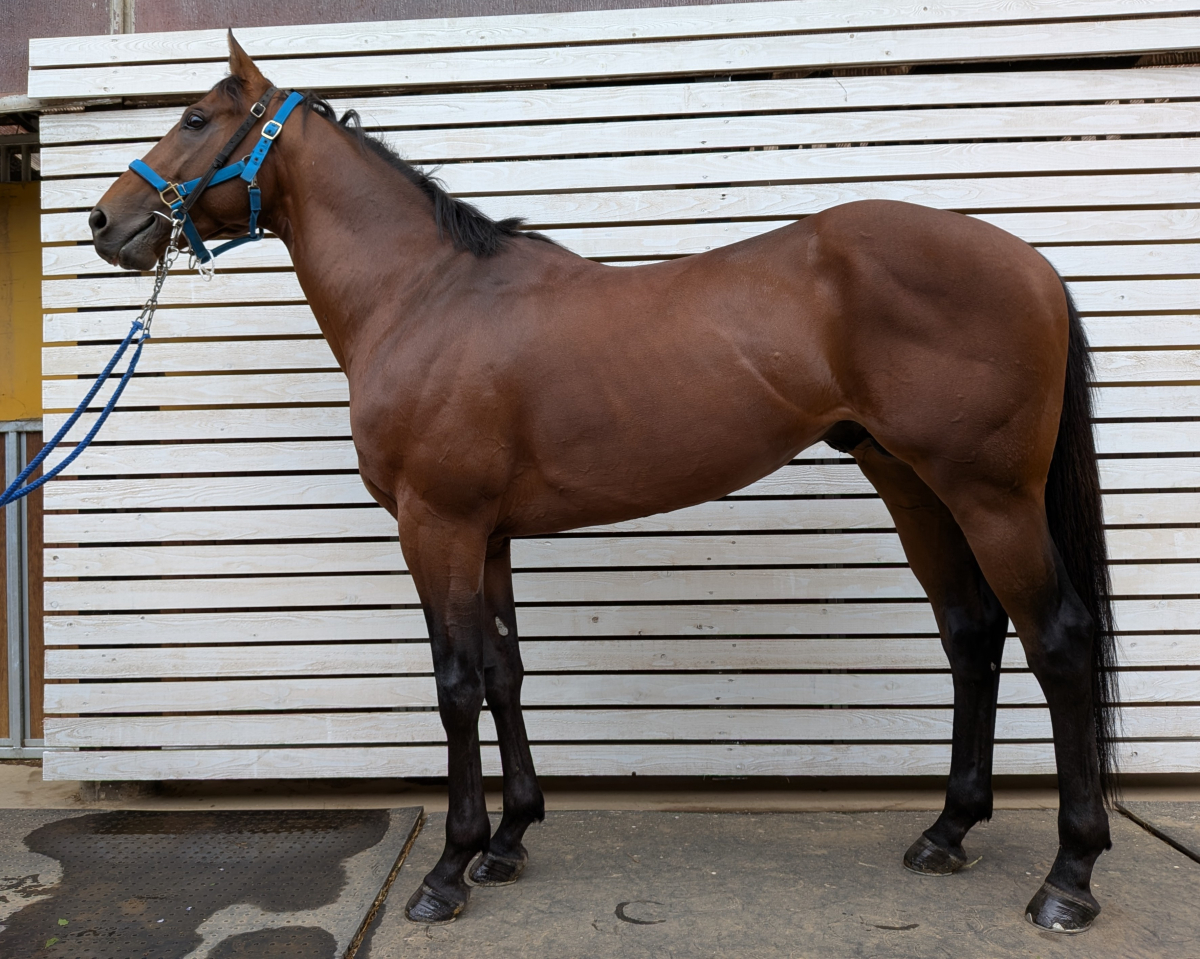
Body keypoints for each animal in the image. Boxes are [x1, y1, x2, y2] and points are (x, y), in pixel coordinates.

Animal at [89, 34, 1119, 932]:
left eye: (193, 116)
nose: (104, 222)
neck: (424, 296)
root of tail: (1029, 262)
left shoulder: (436, 525)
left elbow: (455, 682)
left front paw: (447, 869)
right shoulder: (487, 534)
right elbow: (503, 669)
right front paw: (508, 841)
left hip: (990, 496)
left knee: (1058, 641)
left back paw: (1069, 878)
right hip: (913, 485)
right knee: (973, 634)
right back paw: (947, 831)